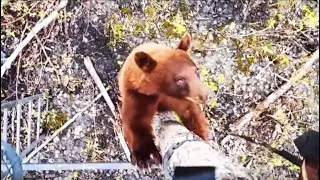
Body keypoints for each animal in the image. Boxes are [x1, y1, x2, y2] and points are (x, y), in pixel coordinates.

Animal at [117, 33, 210, 169]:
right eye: (180, 80)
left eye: (196, 70)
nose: (206, 95)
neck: (162, 92)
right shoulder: (138, 94)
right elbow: (135, 120)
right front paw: (146, 156)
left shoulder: (183, 99)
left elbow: (193, 114)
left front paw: (201, 135)